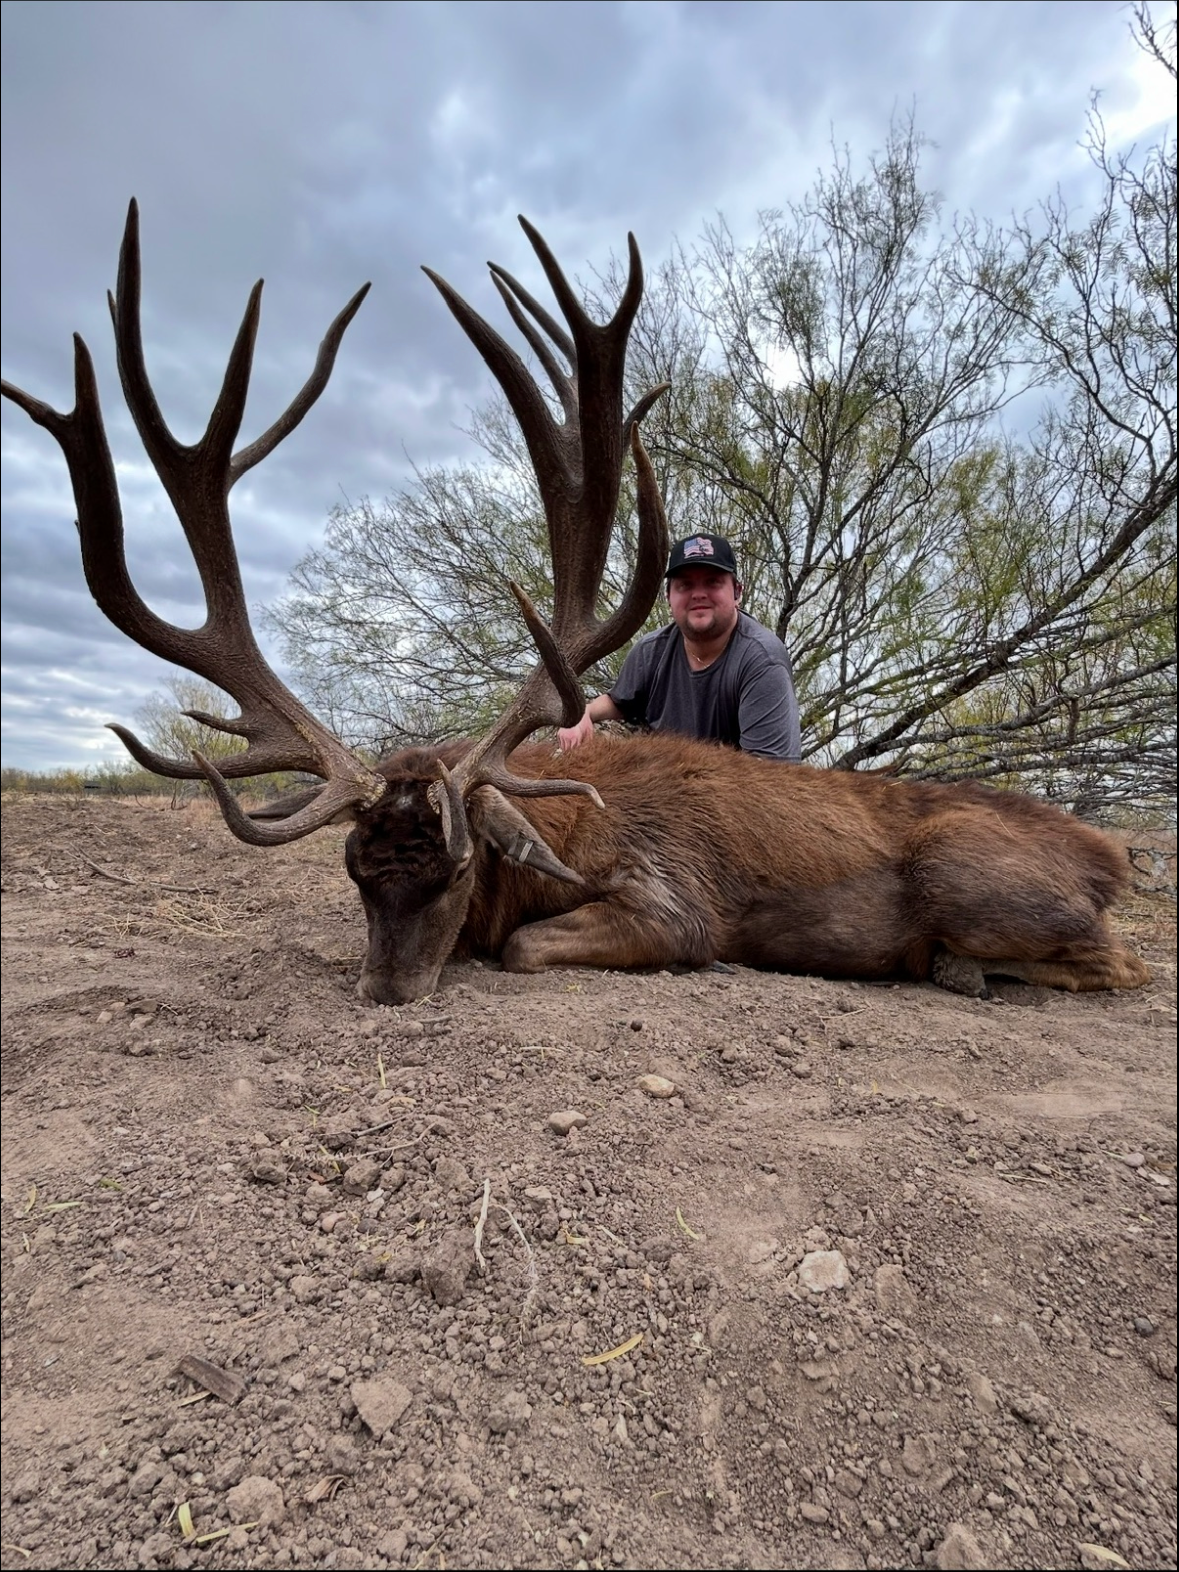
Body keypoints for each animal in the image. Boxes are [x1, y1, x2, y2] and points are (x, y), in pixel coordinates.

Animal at [2, 203, 1151, 1007]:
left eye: (458, 871)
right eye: (356, 872)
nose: (386, 991)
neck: (557, 836)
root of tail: (1112, 853)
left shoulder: (671, 904)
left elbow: (522, 947)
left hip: (974, 880)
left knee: (1123, 962)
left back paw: (961, 969)